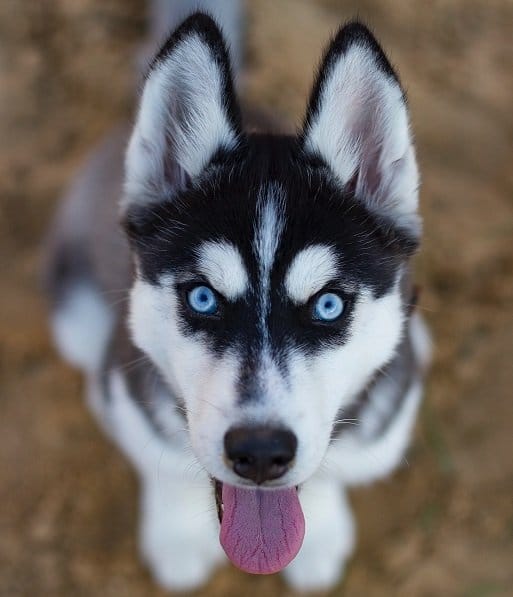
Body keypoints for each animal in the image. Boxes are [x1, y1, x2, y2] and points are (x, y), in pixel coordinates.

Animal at [46, 2, 430, 592]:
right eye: (203, 298)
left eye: (328, 305)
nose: (260, 452)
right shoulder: (136, 399)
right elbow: (163, 460)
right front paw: (176, 534)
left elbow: (331, 471)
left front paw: (321, 531)